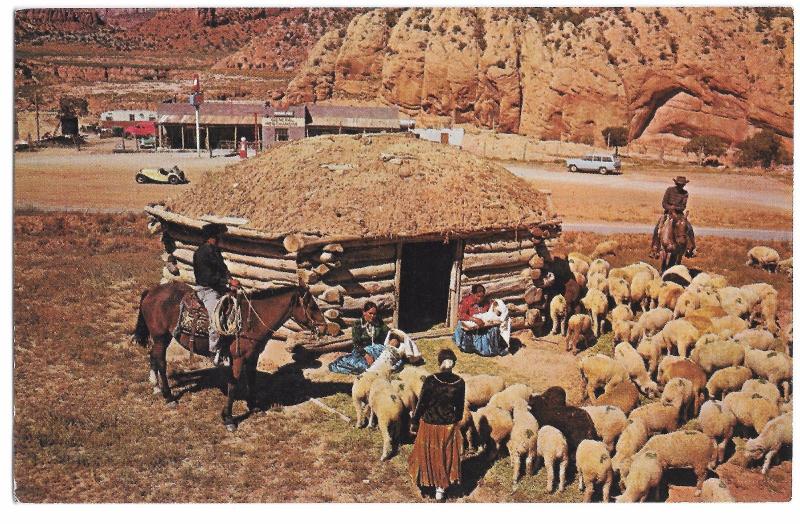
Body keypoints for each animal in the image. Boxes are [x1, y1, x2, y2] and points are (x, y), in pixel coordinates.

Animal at [133, 282, 326, 430]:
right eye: (312, 306)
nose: (324, 328)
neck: (251, 321)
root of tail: (152, 291)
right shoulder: (238, 359)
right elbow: (233, 385)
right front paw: (228, 419)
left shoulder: (253, 357)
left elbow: (252, 381)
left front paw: (254, 406)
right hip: (160, 336)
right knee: (161, 362)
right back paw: (168, 397)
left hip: (162, 337)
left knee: (153, 356)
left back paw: (156, 386)